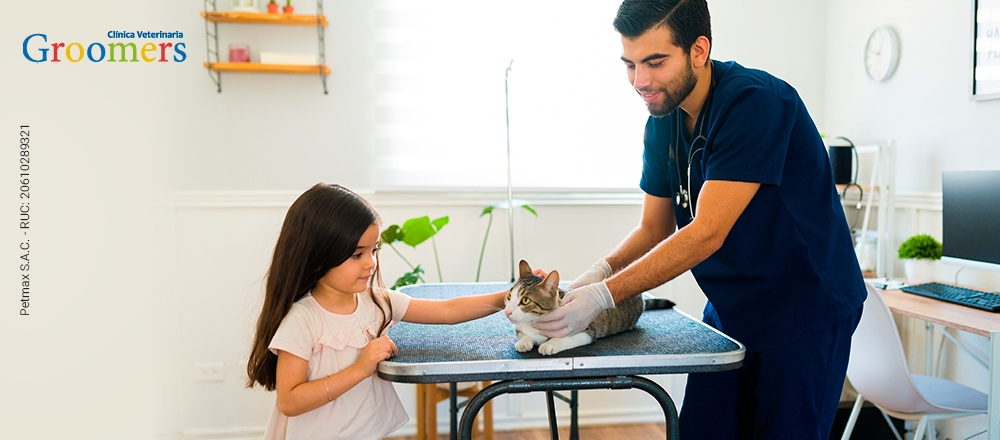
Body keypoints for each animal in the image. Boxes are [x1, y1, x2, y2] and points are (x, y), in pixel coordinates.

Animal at [500, 260, 672, 356]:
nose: (507, 312)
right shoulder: (522, 328)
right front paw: (524, 341)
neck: (534, 323)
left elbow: (567, 337)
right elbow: (522, 334)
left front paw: (551, 343)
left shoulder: (586, 331)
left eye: (525, 300)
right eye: (509, 296)